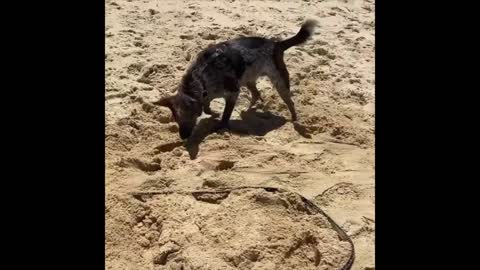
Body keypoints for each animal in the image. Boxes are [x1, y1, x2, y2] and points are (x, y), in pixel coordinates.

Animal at [155, 19, 318, 139]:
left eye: (190, 116)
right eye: (176, 118)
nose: (183, 137)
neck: (201, 75)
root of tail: (276, 44)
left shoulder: (233, 93)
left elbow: (225, 115)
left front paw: (221, 126)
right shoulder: (208, 94)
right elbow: (207, 107)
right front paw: (212, 113)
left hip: (280, 82)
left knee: (290, 103)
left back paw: (294, 120)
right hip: (248, 79)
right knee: (256, 94)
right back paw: (250, 109)